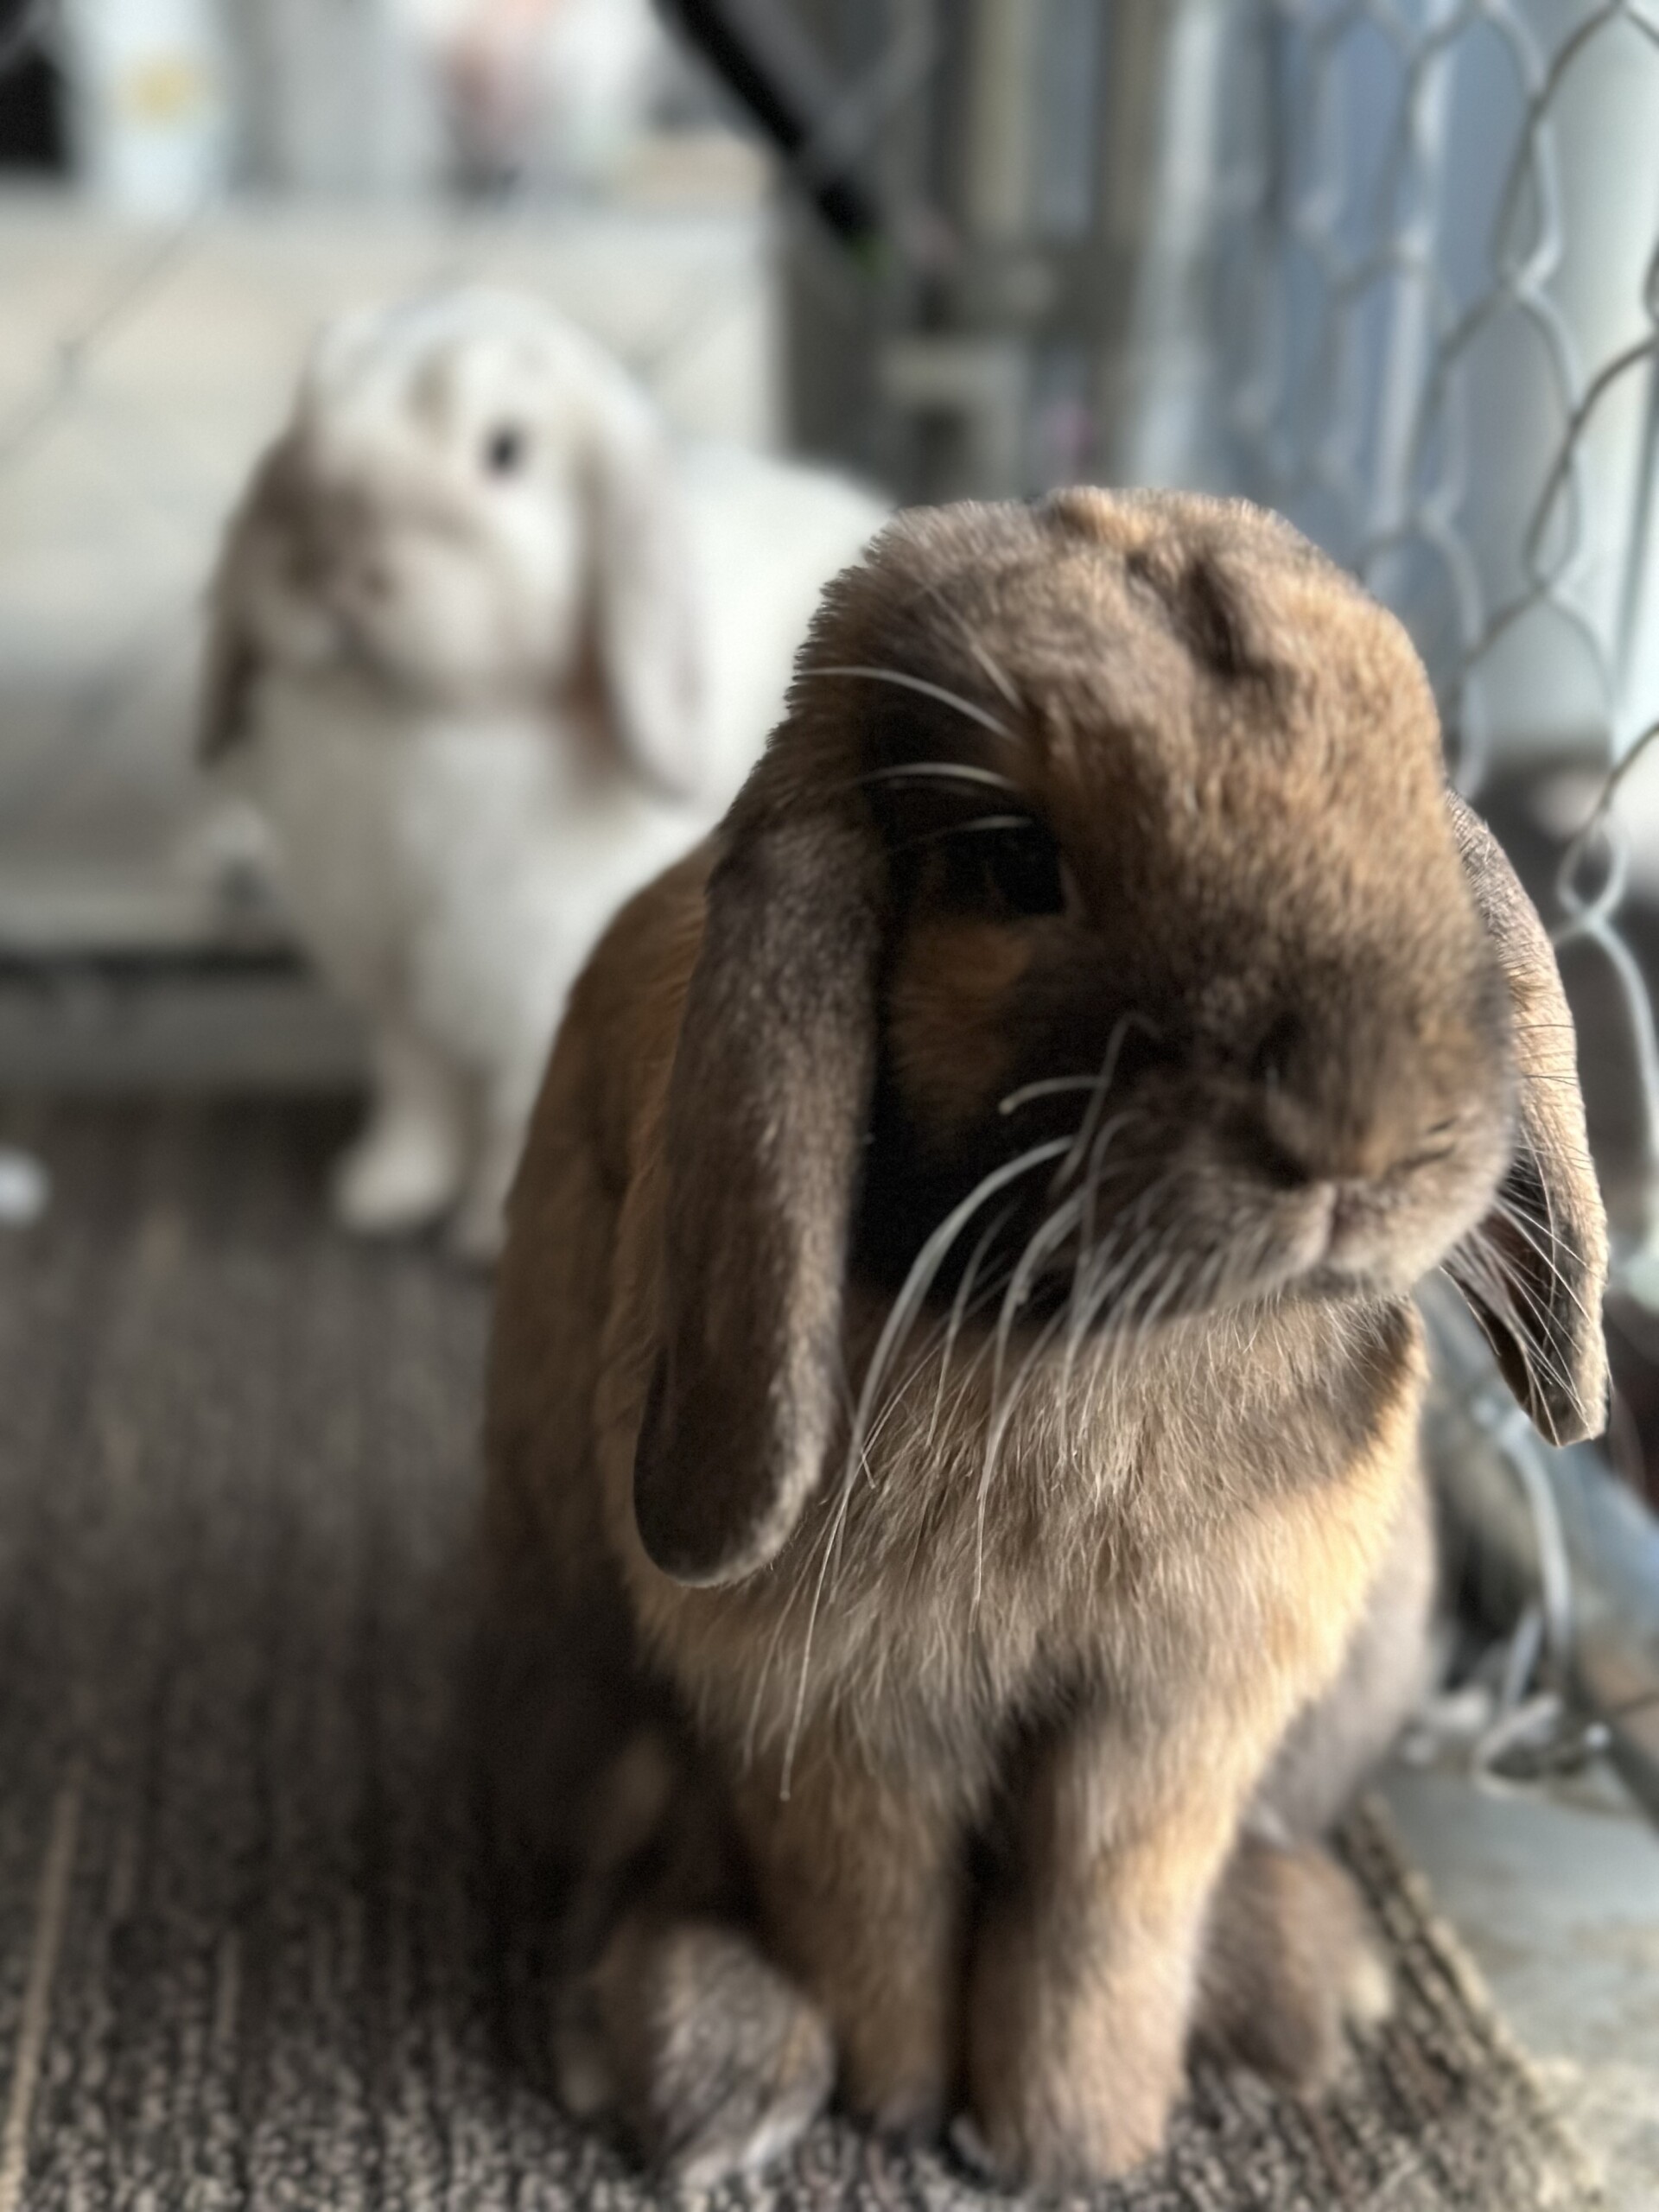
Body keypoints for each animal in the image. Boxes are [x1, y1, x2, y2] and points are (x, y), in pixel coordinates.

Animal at [198, 286, 885, 1259]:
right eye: (300, 425)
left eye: (505, 450)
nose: (330, 559)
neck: (407, 723)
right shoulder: (392, 985)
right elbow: (417, 1090)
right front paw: (384, 1193)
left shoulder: (537, 989)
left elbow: (516, 1111)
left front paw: (489, 1233)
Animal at [482, 489, 1609, 2186]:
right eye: (1014, 864)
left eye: (1412, 795)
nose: (1358, 1139)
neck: (1096, 1334)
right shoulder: (837, 1712)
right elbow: (883, 1917)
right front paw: (901, 2109)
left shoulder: (1177, 1711)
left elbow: (1096, 1923)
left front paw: (1068, 2147)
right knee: (646, 1855)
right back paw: (704, 2076)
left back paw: (1305, 2000)